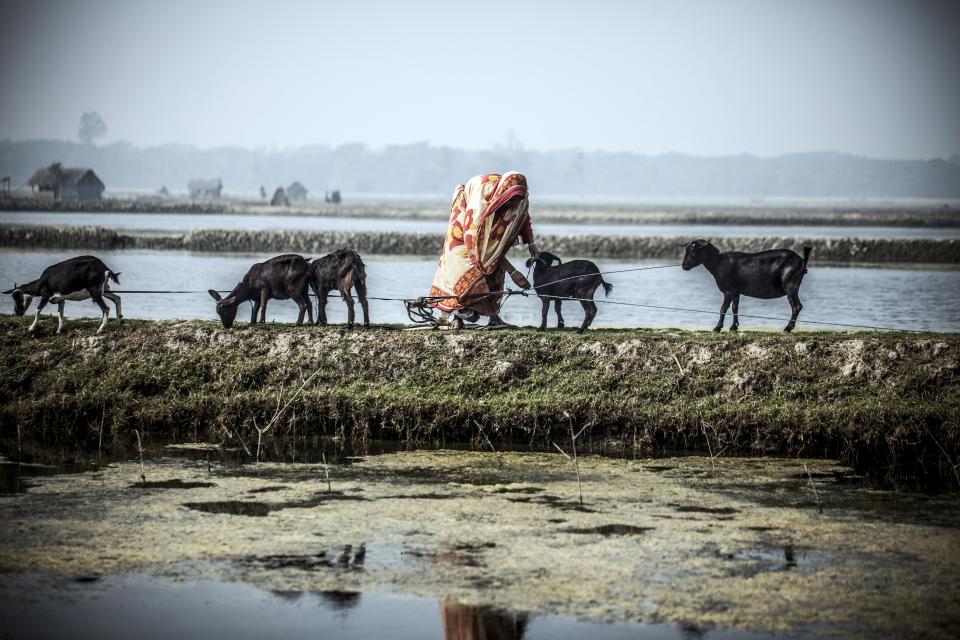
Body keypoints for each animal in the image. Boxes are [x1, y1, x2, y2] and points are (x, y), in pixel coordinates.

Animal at [681, 239, 812, 332]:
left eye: (693, 251)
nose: (684, 266)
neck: (718, 263)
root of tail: (801, 261)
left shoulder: (729, 290)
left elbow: (723, 308)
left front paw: (717, 328)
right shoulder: (736, 291)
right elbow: (735, 308)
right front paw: (734, 327)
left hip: (790, 285)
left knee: (796, 306)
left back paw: (788, 328)